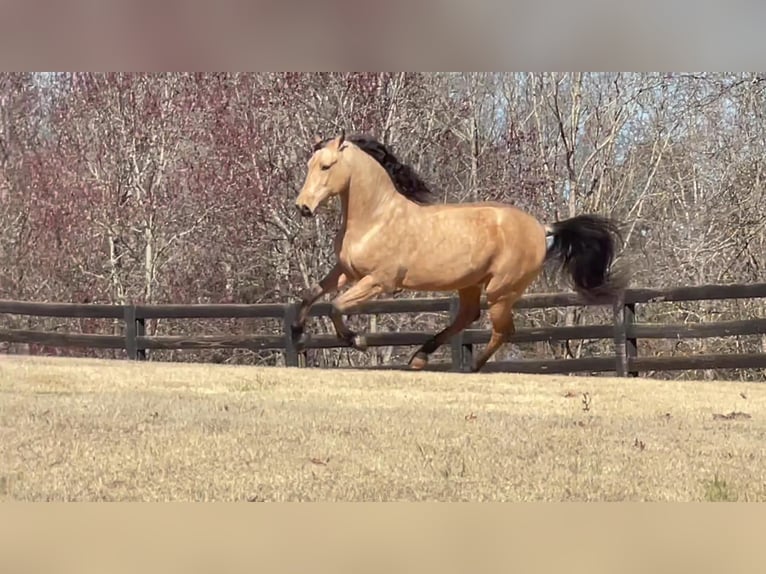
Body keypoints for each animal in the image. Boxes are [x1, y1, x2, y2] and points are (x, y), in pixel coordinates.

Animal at [290, 130, 627, 372]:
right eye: (308, 165)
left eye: (326, 166)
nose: (303, 207)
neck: (375, 218)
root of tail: (542, 228)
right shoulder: (345, 272)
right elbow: (310, 294)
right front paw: (296, 333)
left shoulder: (379, 281)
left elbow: (336, 306)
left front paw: (357, 340)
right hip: (470, 284)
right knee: (468, 316)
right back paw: (420, 358)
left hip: (501, 291)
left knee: (503, 330)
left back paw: (471, 368)